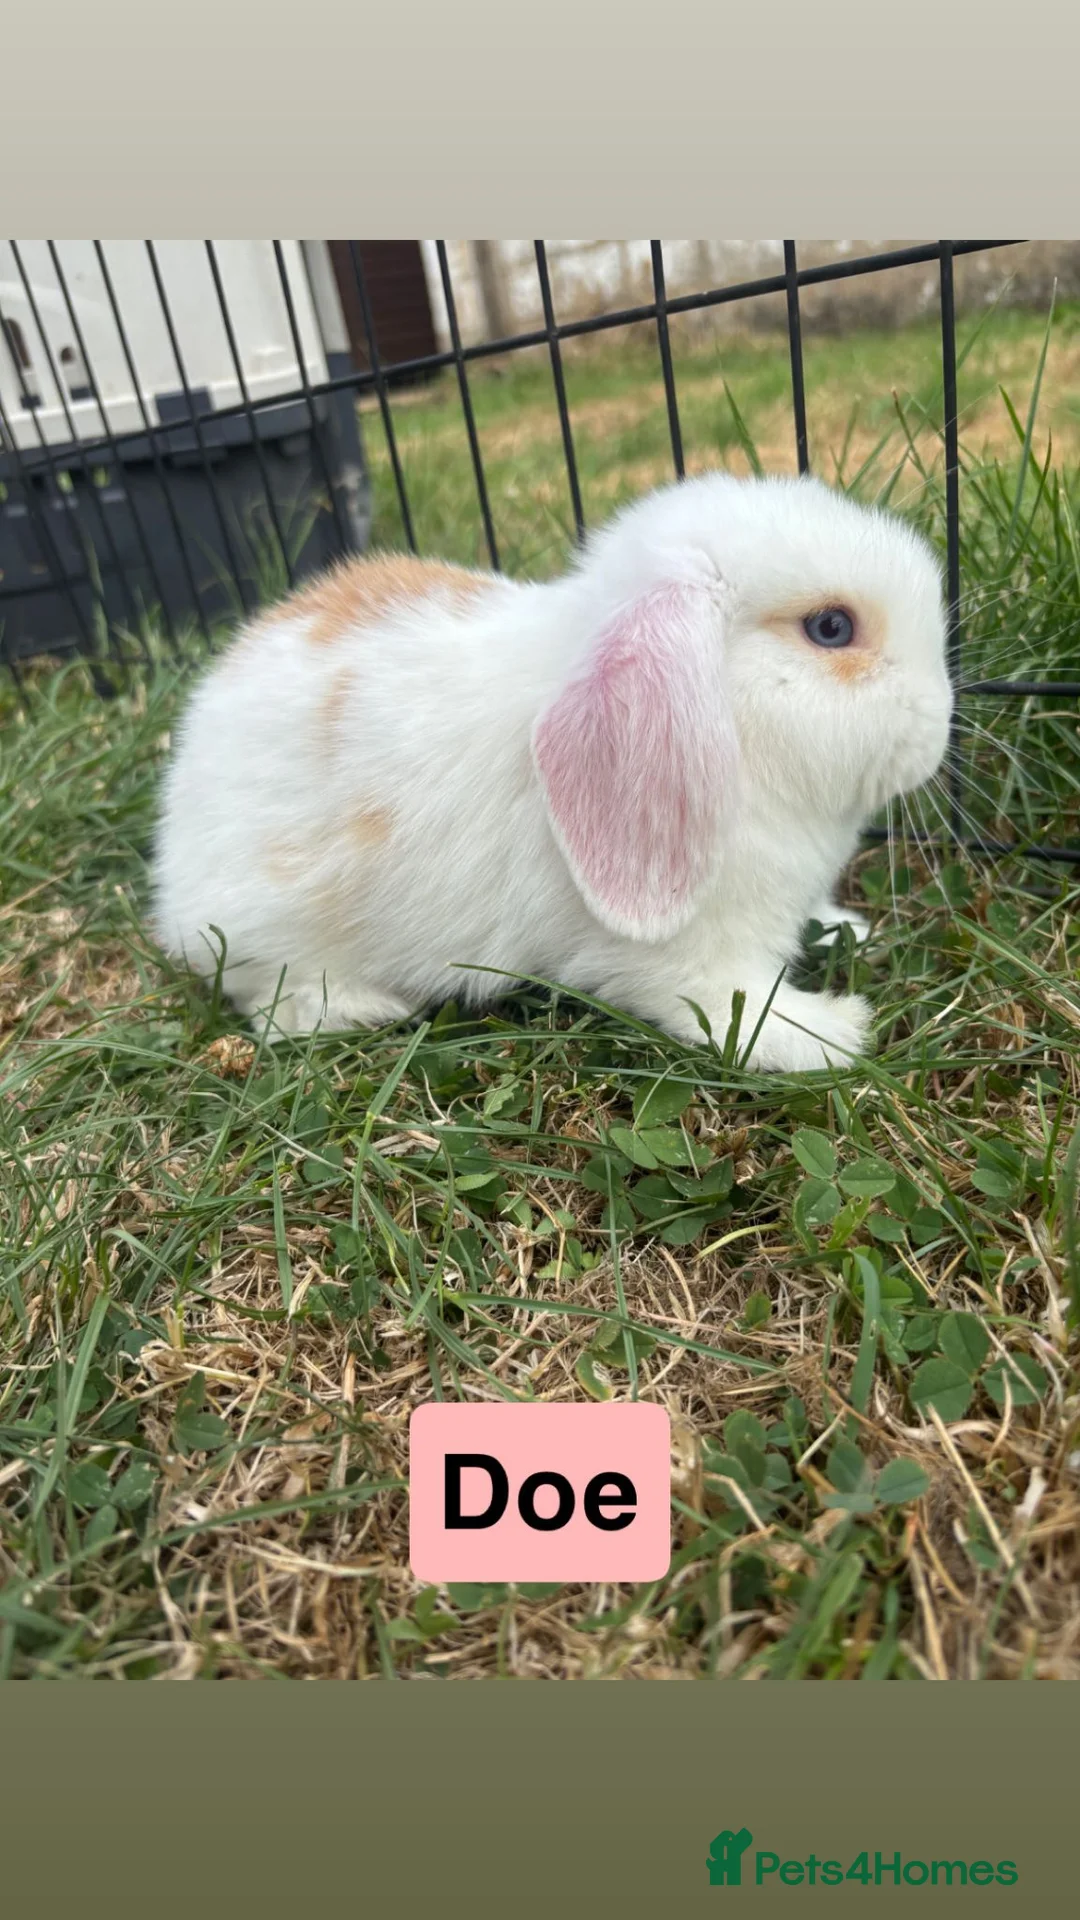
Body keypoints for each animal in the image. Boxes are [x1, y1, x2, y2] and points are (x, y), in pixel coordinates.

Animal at [152, 470, 952, 1073]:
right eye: (831, 628)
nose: (940, 723)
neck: (739, 739)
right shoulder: (689, 959)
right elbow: (732, 1010)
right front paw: (831, 1033)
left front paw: (846, 930)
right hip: (270, 932)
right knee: (270, 999)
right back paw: (367, 1006)